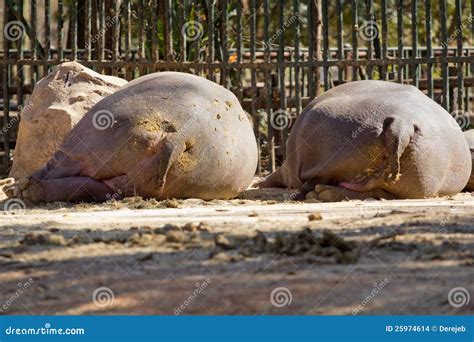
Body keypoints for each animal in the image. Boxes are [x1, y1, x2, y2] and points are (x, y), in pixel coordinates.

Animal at [260, 81, 470, 202]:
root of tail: (403, 123)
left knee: (309, 182)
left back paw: (315, 193)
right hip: (418, 181)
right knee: (378, 191)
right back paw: (323, 193)